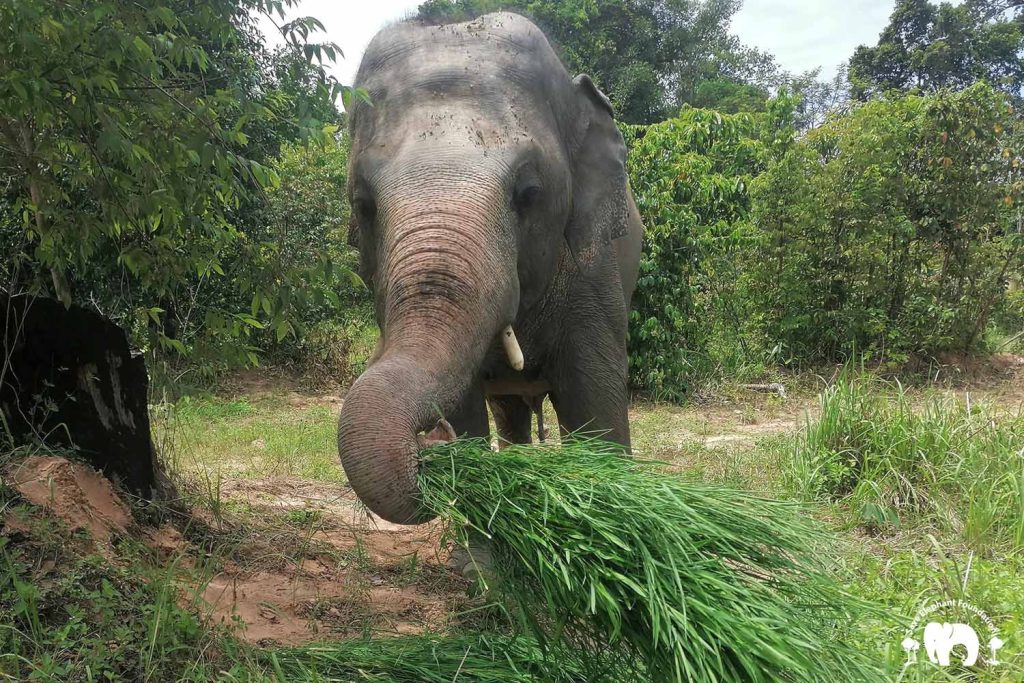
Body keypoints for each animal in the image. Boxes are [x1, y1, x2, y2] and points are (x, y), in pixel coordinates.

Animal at [335, 12, 638, 524]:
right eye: (363, 205)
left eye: (529, 194)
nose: (431, 440)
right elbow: (468, 414)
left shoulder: (594, 272)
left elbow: (596, 406)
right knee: (510, 414)